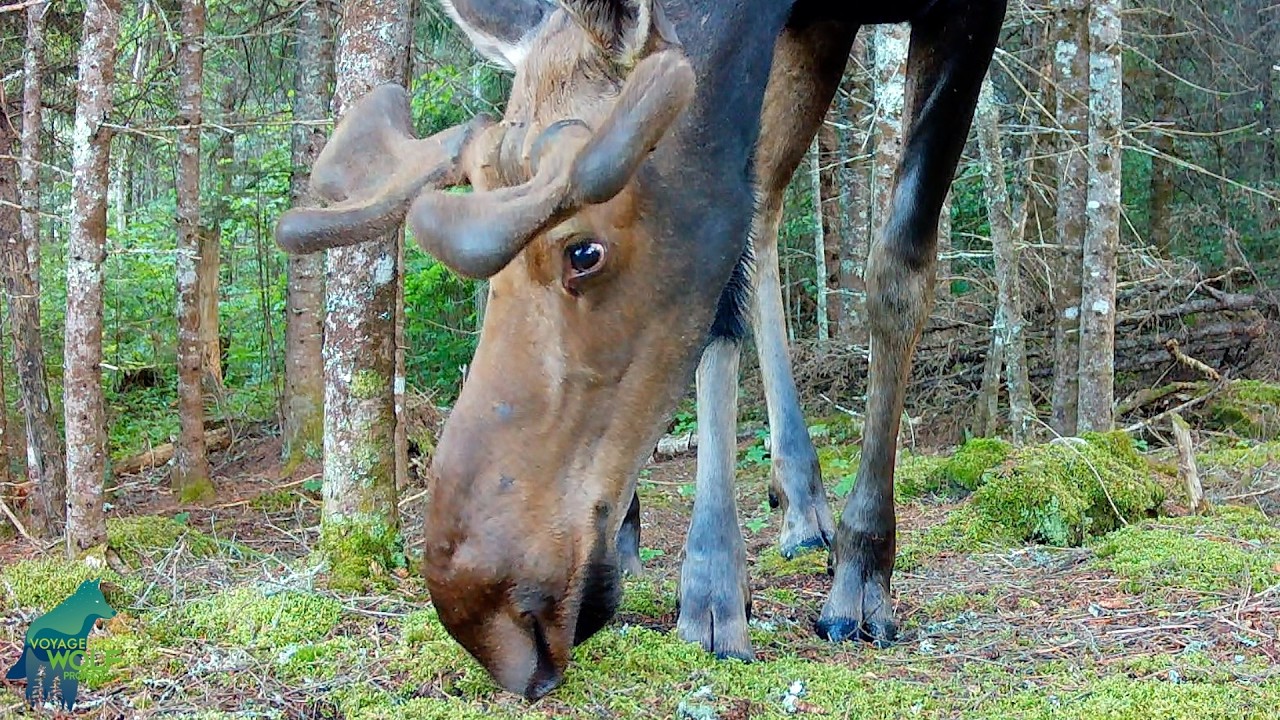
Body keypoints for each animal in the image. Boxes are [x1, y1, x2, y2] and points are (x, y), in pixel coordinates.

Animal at [275, 0, 1007, 701]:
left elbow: (899, 272)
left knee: (768, 201)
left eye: (584, 252)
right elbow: (725, 293)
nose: (489, 621)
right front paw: (712, 584)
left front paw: (862, 573)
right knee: (766, 203)